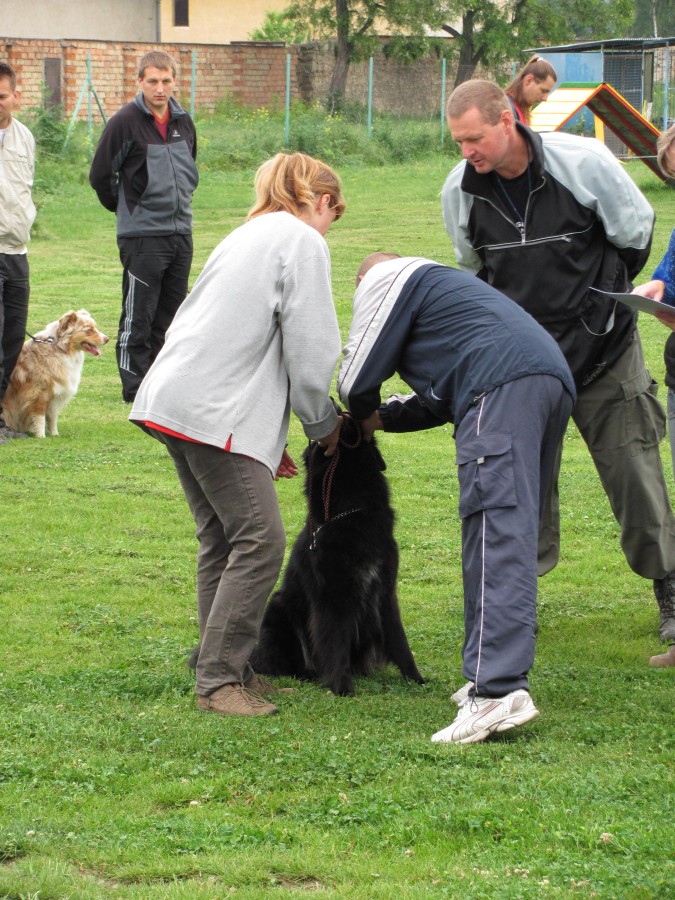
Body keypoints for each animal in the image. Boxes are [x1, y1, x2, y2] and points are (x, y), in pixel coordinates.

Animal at [2, 308, 108, 438]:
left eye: (95, 328)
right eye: (89, 330)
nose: (107, 339)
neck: (60, 349)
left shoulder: (55, 394)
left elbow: (52, 417)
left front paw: (54, 435)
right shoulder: (38, 394)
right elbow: (40, 418)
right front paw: (41, 436)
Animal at [248, 414, 426, 696]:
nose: (344, 412)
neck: (353, 510)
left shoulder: (385, 591)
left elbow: (399, 641)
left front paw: (416, 678)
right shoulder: (332, 597)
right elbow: (335, 643)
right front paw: (341, 687)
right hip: (278, 607)